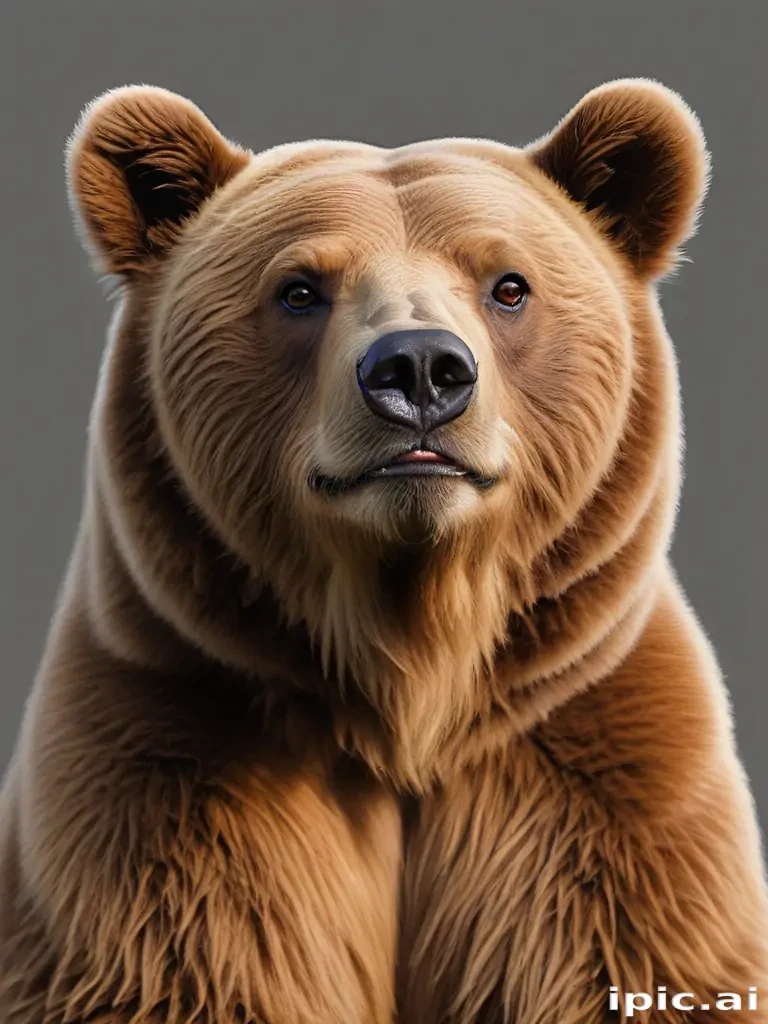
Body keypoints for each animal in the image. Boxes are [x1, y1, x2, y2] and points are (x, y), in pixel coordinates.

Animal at [0, 77, 766, 1024]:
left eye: (509, 284)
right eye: (298, 289)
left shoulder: (596, 797)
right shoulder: (174, 774)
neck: (409, 682)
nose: (421, 369)